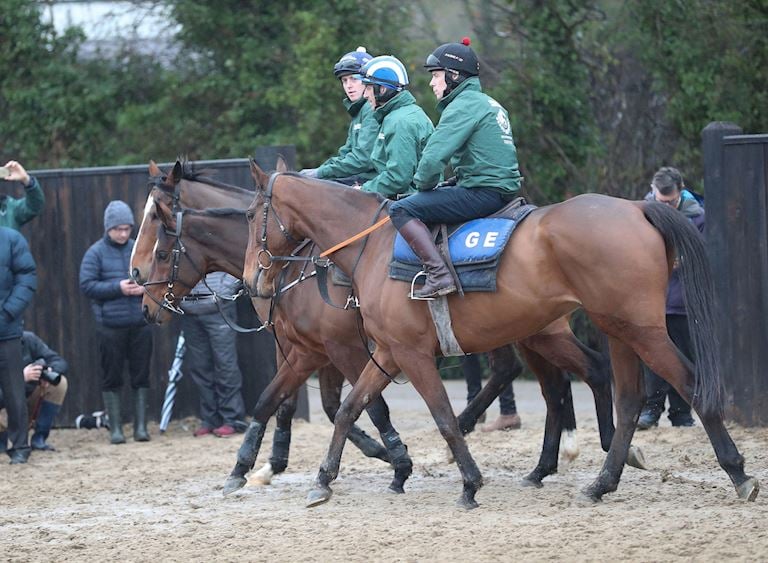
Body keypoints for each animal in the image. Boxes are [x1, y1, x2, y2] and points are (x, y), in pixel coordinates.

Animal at [243, 165, 760, 508]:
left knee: (687, 385)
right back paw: (600, 480)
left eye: (251, 214)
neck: (370, 246)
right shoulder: (387, 352)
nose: (254, 280)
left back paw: (737, 473)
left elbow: (442, 418)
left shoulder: (408, 354)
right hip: (613, 329)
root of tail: (636, 207)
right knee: (624, 398)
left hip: (636, 330)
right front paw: (324, 478)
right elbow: (351, 409)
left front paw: (469, 481)